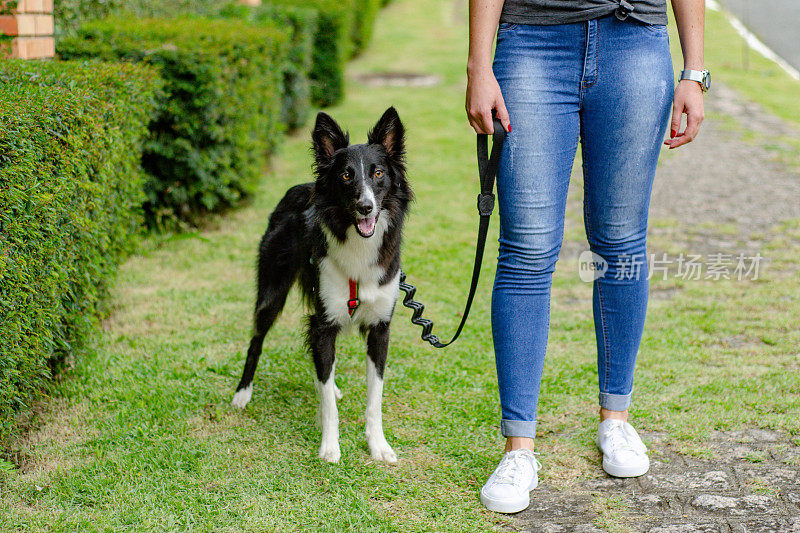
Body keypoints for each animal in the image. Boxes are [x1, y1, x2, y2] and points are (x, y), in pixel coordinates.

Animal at [228, 107, 410, 462]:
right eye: (346, 176)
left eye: (378, 173)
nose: (366, 207)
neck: (358, 242)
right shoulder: (323, 323)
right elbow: (328, 403)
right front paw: (330, 446)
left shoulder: (380, 326)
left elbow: (375, 397)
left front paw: (378, 445)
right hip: (272, 291)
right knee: (257, 340)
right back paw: (243, 393)